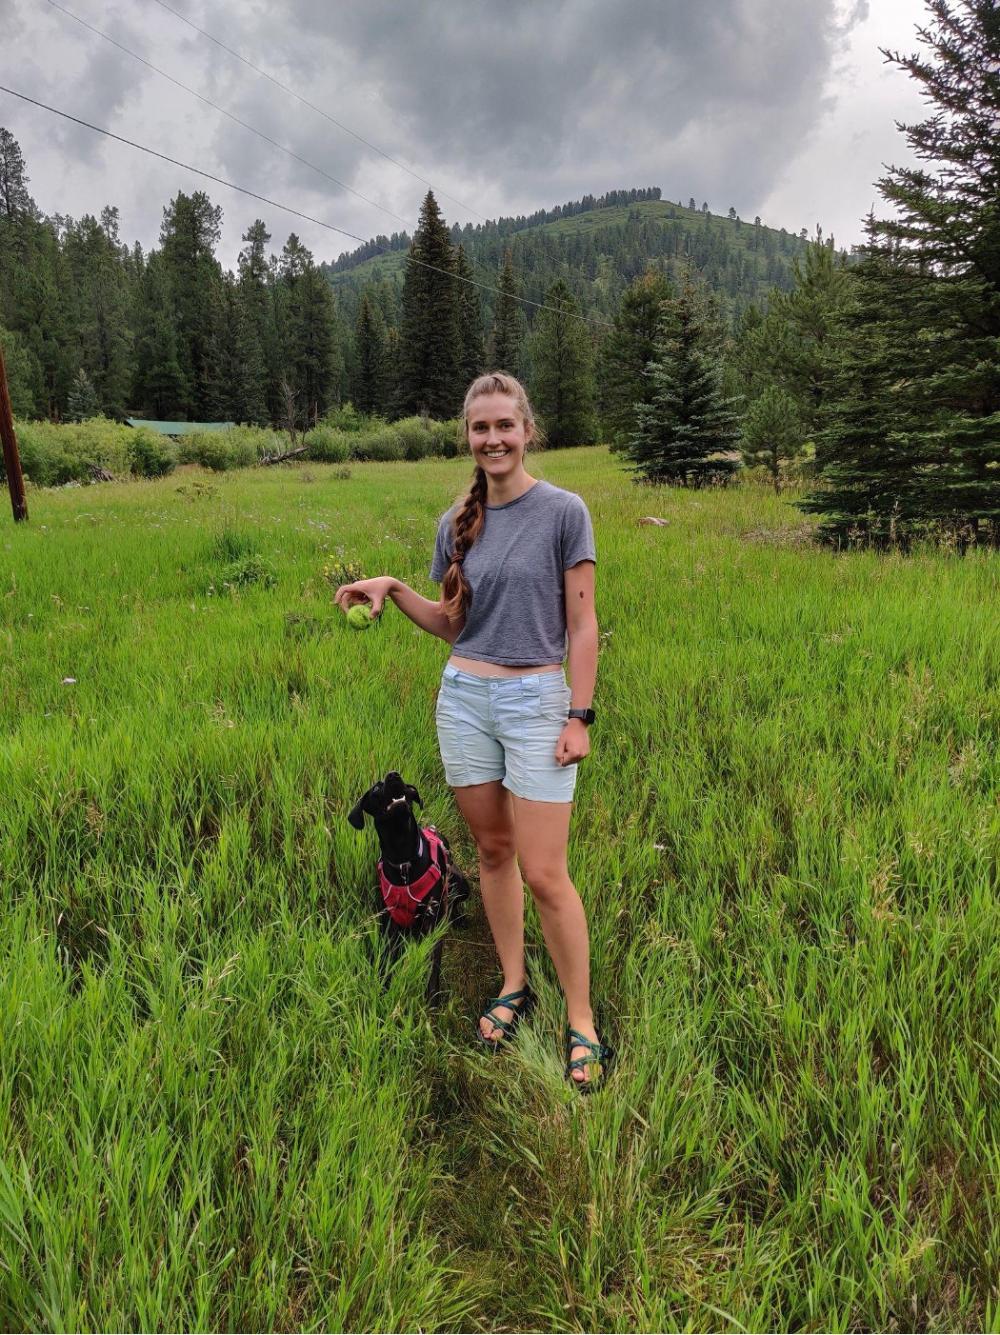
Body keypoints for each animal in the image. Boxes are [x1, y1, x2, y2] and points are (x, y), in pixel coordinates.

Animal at [347, 774, 472, 1003]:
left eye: (404, 783)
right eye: (376, 788)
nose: (394, 775)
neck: (403, 858)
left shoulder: (431, 922)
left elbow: (432, 965)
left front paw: (431, 999)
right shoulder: (389, 923)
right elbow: (386, 959)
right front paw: (383, 989)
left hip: (460, 882)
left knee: (453, 903)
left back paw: (458, 918)